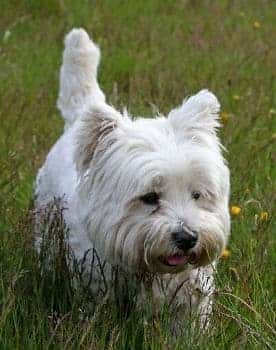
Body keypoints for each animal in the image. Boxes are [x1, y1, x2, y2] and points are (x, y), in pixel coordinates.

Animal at [36, 28, 231, 330]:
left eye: (197, 195)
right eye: (149, 197)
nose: (187, 238)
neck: (151, 271)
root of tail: (81, 115)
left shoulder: (190, 300)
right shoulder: (96, 290)